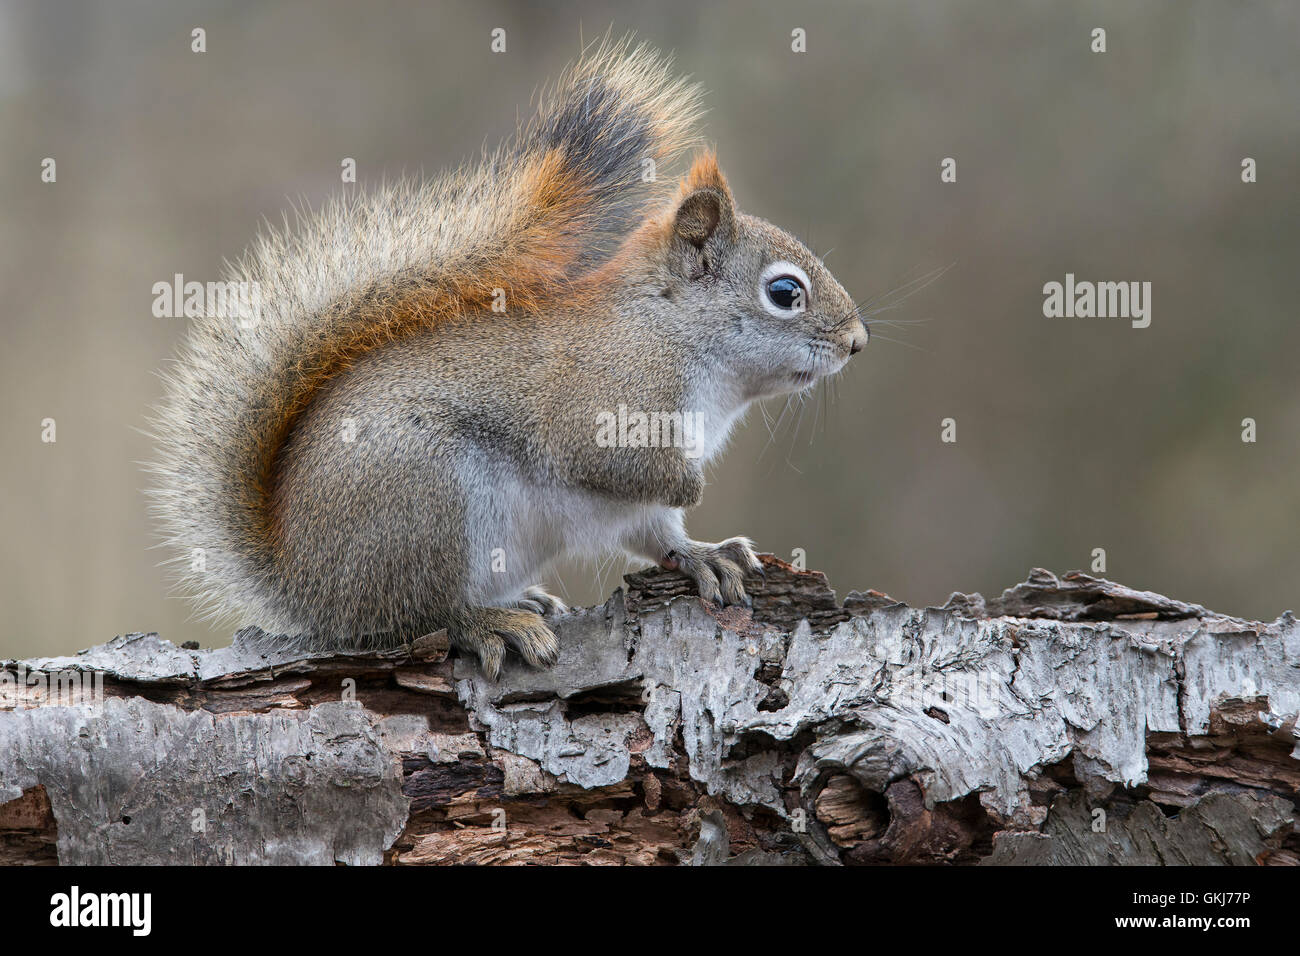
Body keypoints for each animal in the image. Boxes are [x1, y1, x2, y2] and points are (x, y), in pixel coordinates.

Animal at [147, 41, 868, 676]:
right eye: (784, 293)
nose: (857, 342)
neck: (671, 333)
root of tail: (302, 581)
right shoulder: (607, 398)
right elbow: (607, 460)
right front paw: (691, 486)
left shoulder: (637, 505)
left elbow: (658, 532)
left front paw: (705, 555)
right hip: (429, 501)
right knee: (416, 617)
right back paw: (490, 622)